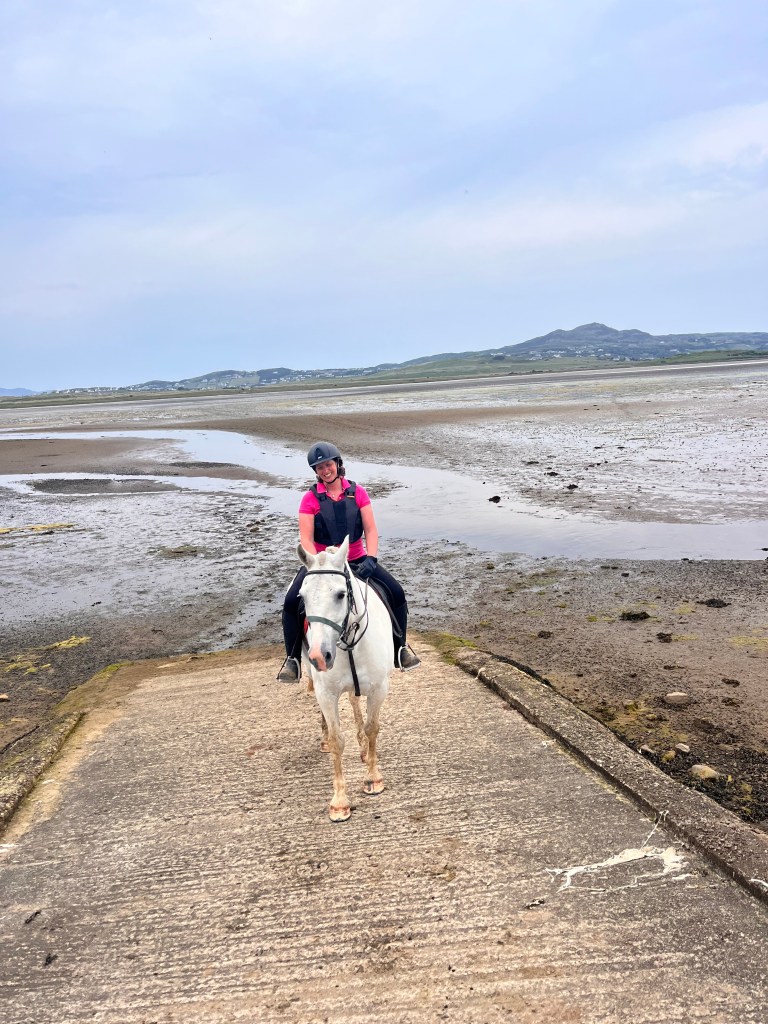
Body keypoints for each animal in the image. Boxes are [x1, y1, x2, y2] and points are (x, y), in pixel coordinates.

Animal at [298, 536, 395, 822]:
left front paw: (373, 778)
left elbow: (372, 728)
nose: (320, 656)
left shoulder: (378, 688)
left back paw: (362, 747)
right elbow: (336, 740)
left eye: (341, 594)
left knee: (353, 701)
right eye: (302, 597)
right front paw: (339, 801)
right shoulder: (326, 693)